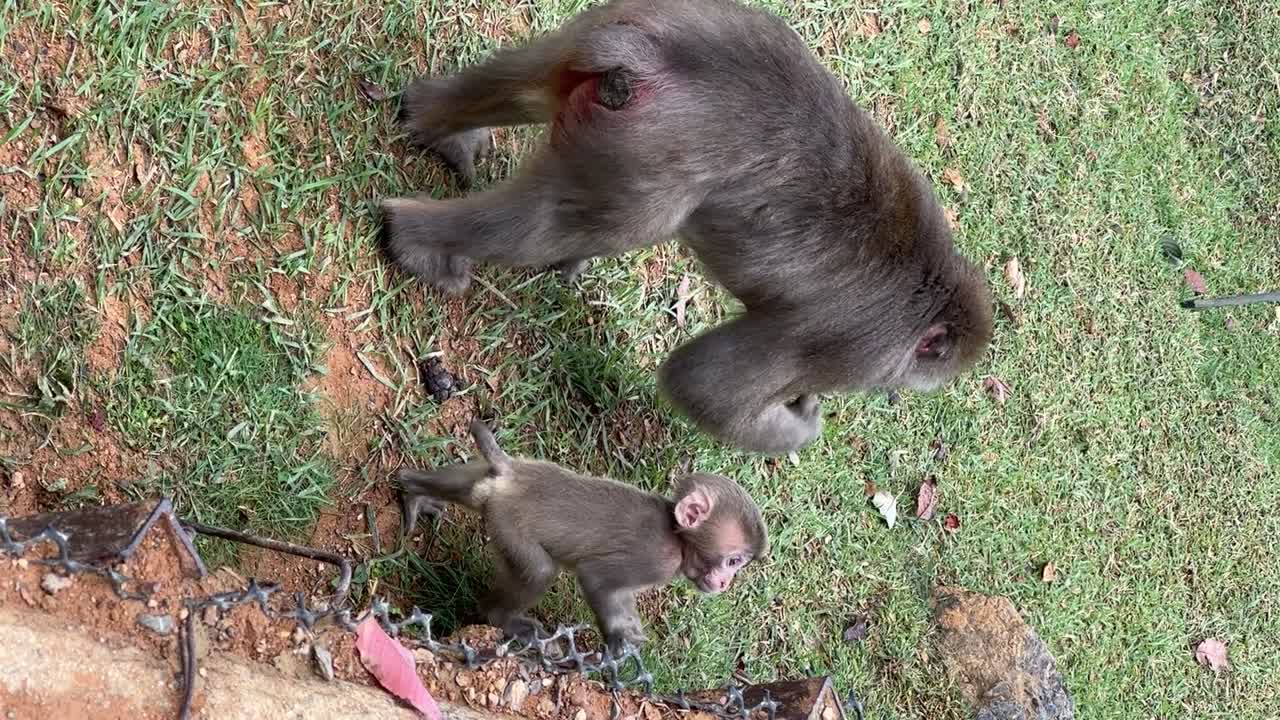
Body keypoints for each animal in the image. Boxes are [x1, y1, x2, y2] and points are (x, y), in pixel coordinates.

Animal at [380, 0, 995, 454]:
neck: (936, 289)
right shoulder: (856, 350)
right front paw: (803, 423)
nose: (898, 394)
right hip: (646, 152)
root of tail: (659, 55)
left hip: (624, 27)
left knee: (527, 85)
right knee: (573, 226)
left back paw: (434, 121)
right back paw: (418, 243)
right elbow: (704, 387)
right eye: (916, 373)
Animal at [396, 419, 767, 654]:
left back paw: (413, 489)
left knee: (460, 484)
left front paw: (629, 633)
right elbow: (597, 579)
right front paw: (617, 642)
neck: (677, 538)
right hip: (508, 522)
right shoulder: (654, 559)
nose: (725, 582)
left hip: (488, 488)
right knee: (538, 571)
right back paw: (500, 619)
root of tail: (510, 473)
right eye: (733, 560)